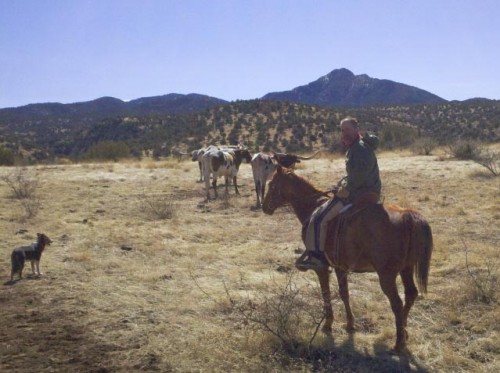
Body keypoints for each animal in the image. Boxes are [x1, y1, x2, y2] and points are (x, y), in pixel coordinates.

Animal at [262, 166, 434, 352]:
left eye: (272, 185)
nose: (264, 207)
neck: (312, 206)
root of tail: (407, 215)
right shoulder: (340, 268)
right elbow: (344, 293)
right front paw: (350, 324)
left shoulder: (321, 268)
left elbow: (326, 292)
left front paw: (328, 324)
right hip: (406, 269)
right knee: (411, 294)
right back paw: (404, 331)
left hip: (387, 276)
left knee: (397, 303)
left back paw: (399, 343)